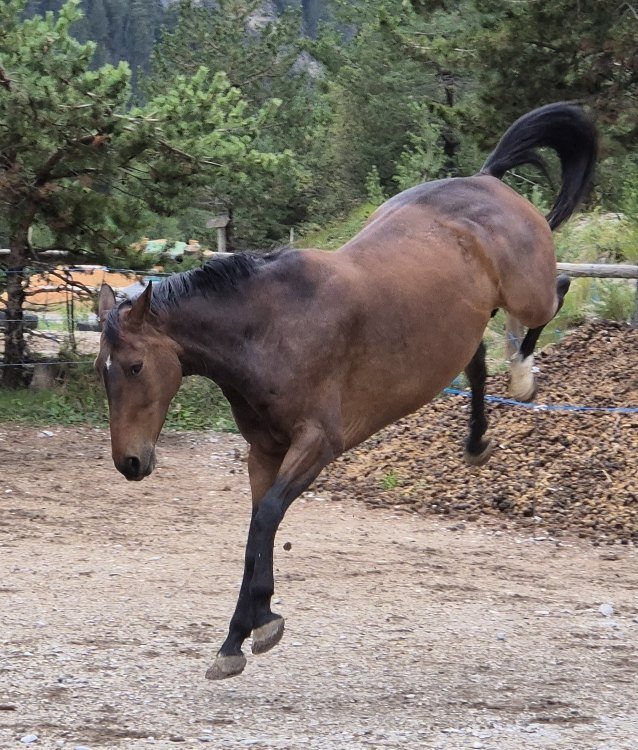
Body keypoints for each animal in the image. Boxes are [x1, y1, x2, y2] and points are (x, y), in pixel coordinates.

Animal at [96, 102, 597, 680]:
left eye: (134, 367)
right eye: (101, 371)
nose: (130, 463)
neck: (270, 329)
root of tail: (487, 179)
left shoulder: (318, 444)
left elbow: (265, 520)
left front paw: (248, 630)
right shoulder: (264, 452)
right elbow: (258, 527)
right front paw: (250, 628)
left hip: (529, 293)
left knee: (556, 293)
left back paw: (523, 374)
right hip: (459, 327)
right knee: (475, 364)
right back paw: (476, 441)